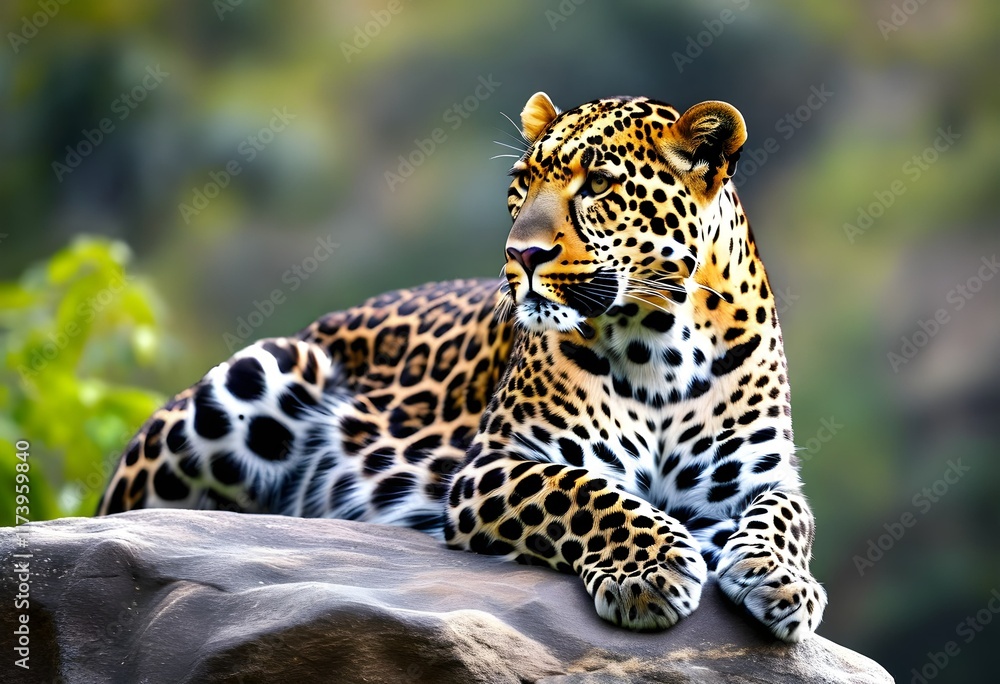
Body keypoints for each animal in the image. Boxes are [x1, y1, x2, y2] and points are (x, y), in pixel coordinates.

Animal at [98, 91, 828, 642]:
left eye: (598, 186)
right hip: (265, 370)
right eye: (522, 184)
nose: (521, 254)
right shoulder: (496, 464)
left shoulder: (755, 479)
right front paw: (649, 571)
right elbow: (590, 492)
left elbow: (786, 519)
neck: (662, 344)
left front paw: (783, 581)